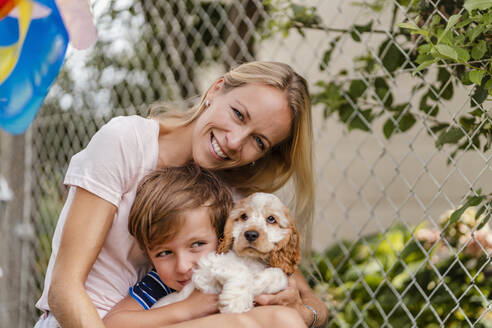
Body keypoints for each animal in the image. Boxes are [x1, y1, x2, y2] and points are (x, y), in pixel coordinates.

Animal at [152, 193, 302, 314]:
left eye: (271, 219)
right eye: (243, 216)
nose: (250, 234)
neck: (252, 258)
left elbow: (279, 274)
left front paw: (256, 283)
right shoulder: (205, 272)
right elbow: (240, 269)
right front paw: (236, 301)